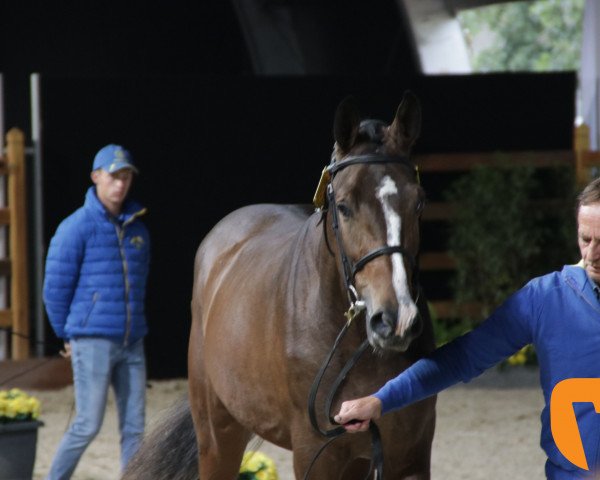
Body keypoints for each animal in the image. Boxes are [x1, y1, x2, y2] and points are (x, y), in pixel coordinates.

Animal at [125, 92, 436, 478]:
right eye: (344, 205)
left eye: (418, 201)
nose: (396, 320)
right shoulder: (315, 455)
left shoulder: (409, 457)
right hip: (217, 434)